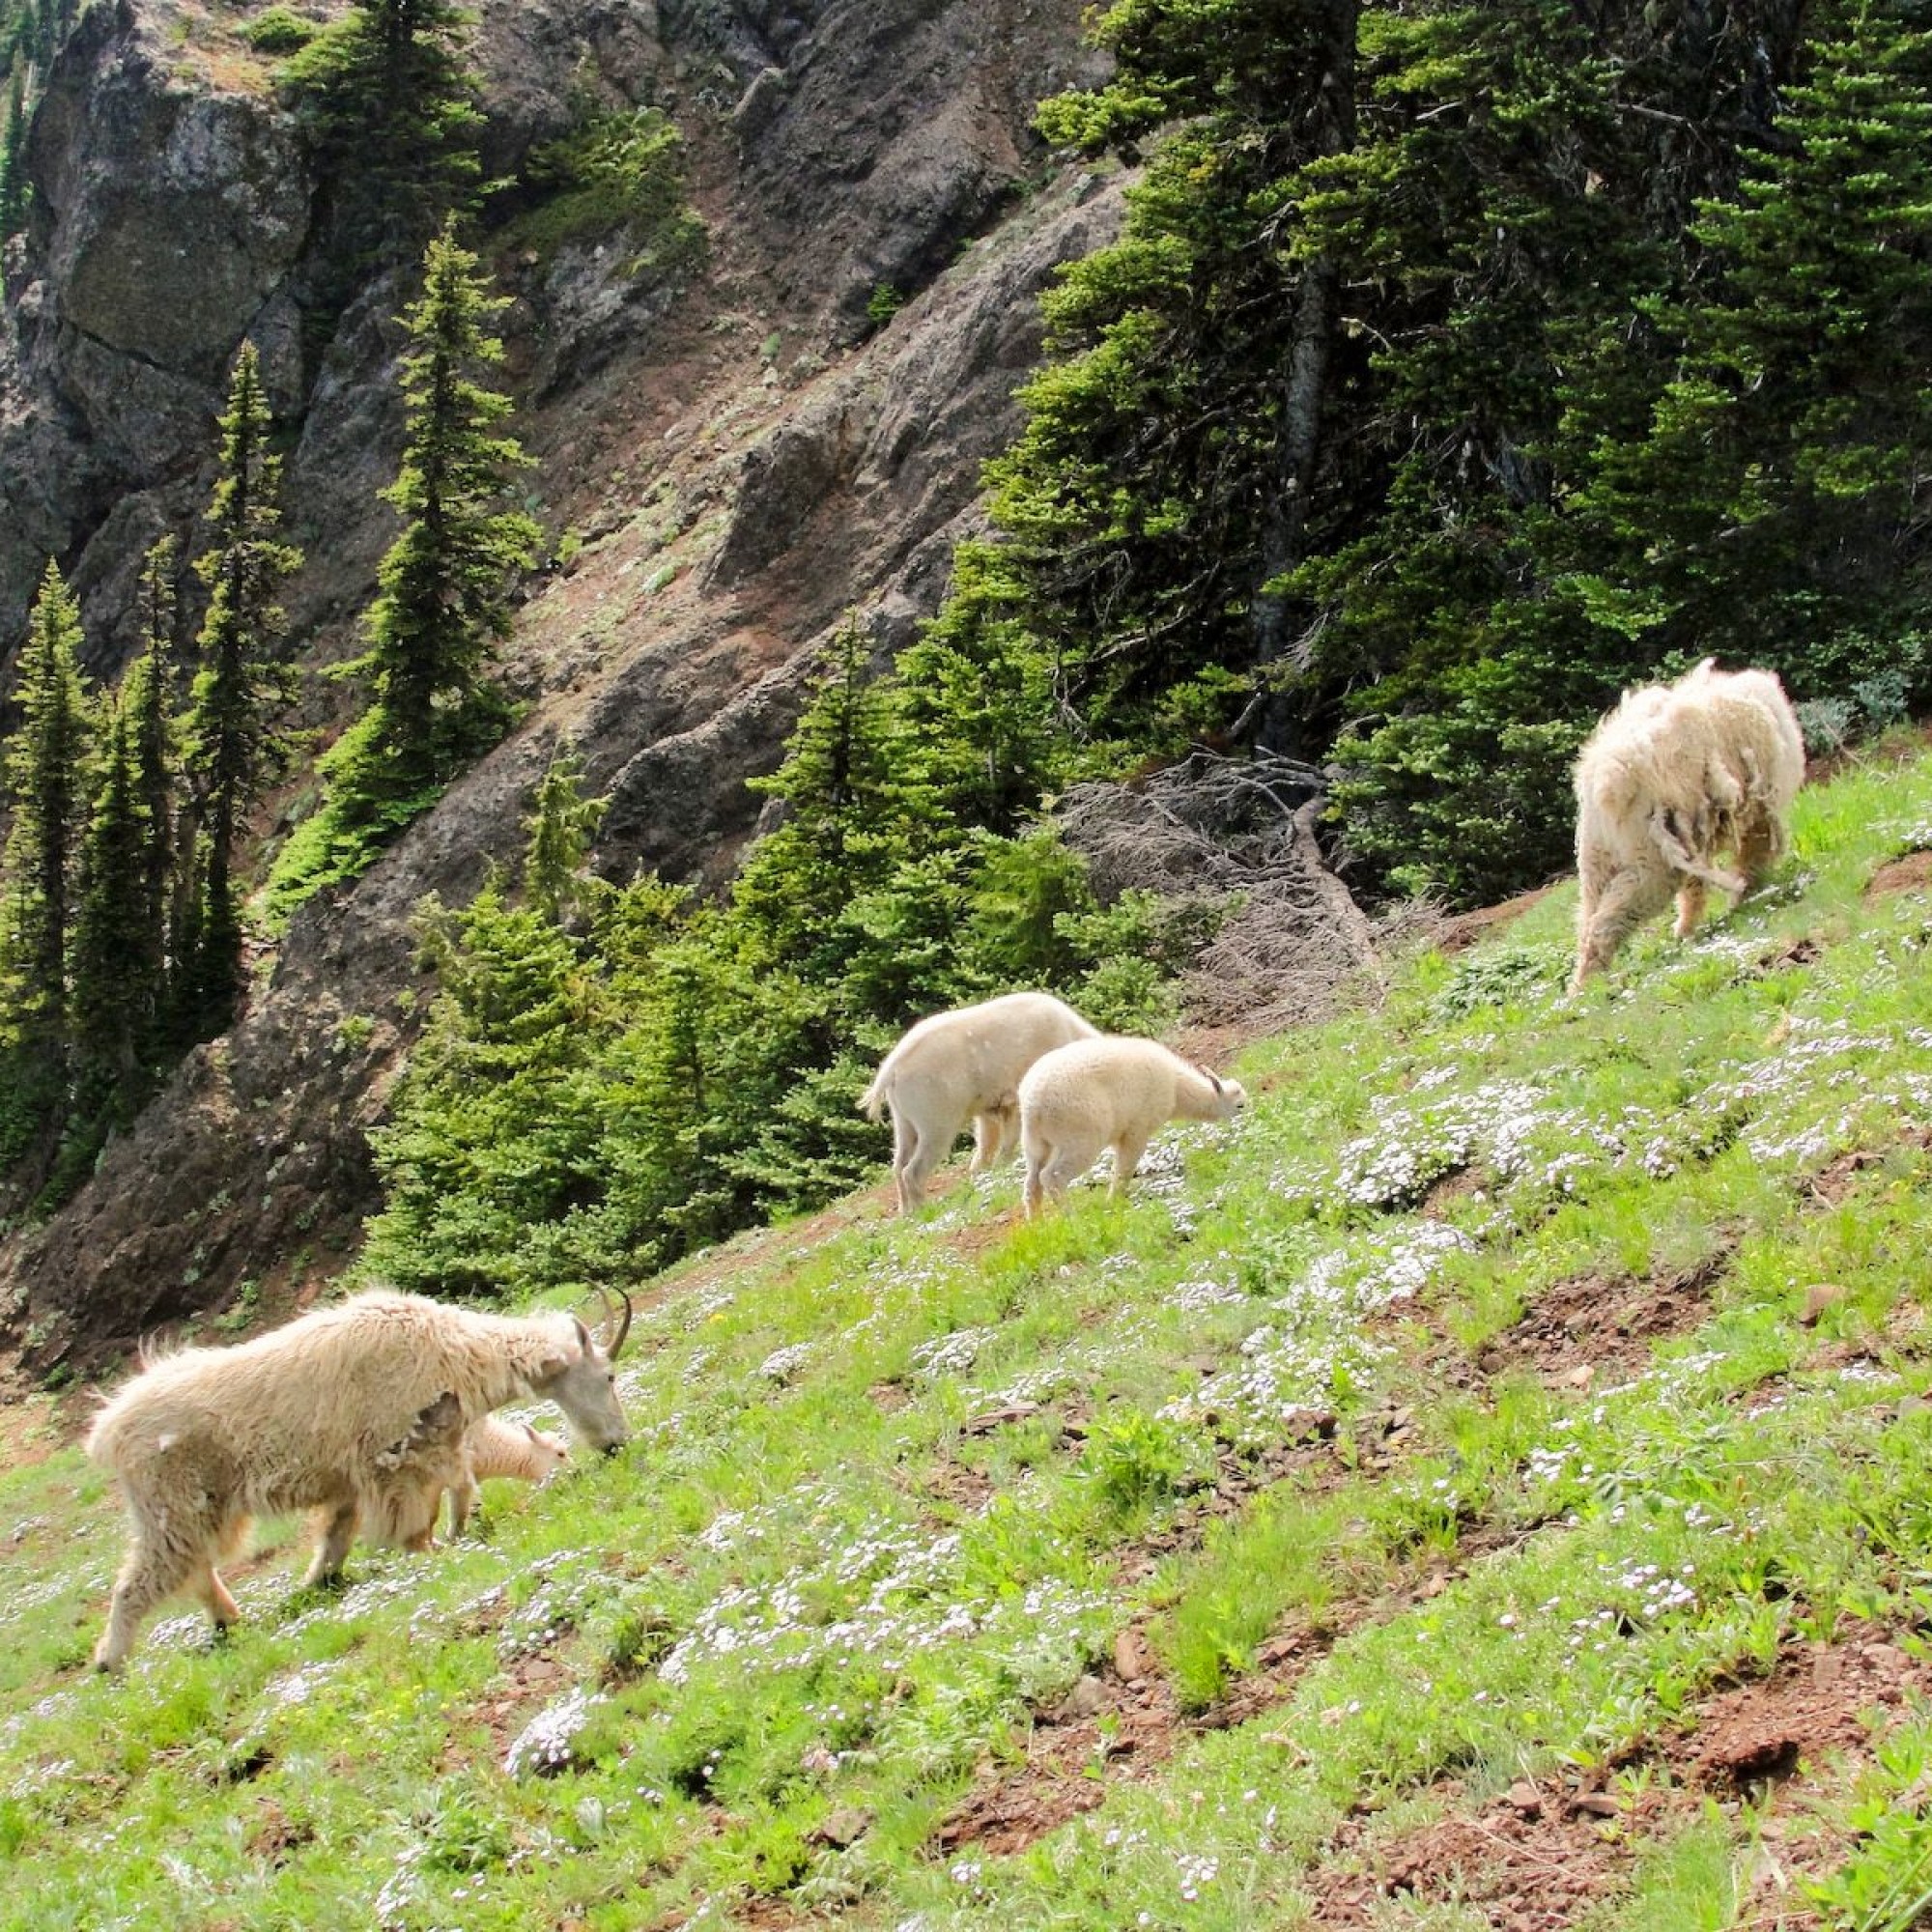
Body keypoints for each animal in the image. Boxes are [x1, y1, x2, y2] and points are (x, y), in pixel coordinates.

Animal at [87, 1291, 630, 1669]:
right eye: (608, 1376)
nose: (618, 1443)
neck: (460, 1352)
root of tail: (108, 1432)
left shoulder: (366, 1475)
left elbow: (339, 1533)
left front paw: (322, 1581)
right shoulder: (396, 1460)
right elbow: (414, 1521)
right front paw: (431, 1551)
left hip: (203, 1507)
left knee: (195, 1566)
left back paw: (229, 1622)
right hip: (176, 1501)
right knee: (141, 1580)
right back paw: (110, 1661)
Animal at [866, 997, 1105, 1206]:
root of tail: (891, 1070)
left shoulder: (989, 1105)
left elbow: (986, 1140)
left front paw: (980, 1172)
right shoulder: (1017, 1095)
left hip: (902, 1113)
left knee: (900, 1160)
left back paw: (906, 1211)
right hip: (932, 1107)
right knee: (916, 1166)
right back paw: (922, 1208)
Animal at [1020, 1036, 1244, 1213]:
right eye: (1240, 1106)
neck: (1177, 1087)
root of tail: (1033, 1104)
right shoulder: (1137, 1129)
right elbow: (1124, 1168)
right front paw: (1114, 1201)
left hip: (1036, 1142)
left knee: (1032, 1182)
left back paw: (1036, 1224)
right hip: (1080, 1135)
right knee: (1052, 1177)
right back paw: (1071, 1217)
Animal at [1569, 665, 1808, 997]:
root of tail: (1613, 778)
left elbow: (1696, 885)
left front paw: (1687, 929)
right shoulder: (1758, 808)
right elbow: (1754, 854)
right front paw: (1744, 895)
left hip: (1599, 853)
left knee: (1589, 917)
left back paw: (1579, 986)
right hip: (1650, 855)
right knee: (1610, 918)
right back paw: (1590, 985)